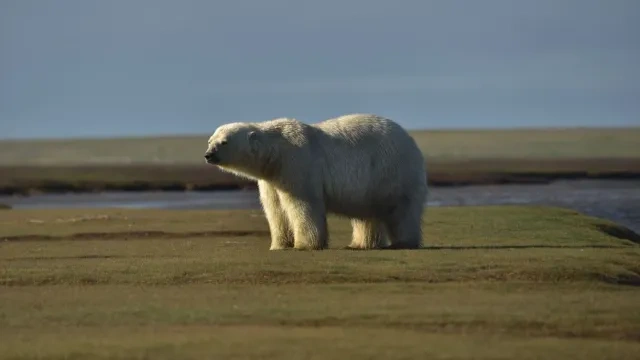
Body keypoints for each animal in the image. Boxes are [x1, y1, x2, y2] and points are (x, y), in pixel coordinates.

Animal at [202, 112, 428, 250]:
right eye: (210, 140)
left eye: (224, 142)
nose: (208, 155)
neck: (276, 153)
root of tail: (411, 140)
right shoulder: (271, 178)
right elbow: (275, 209)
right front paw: (279, 245)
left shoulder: (298, 163)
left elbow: (302, 204)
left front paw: (304, 244)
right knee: (366, 214)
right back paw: (361, 243)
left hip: (392, 170)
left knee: (401, 208)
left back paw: (403, 241)